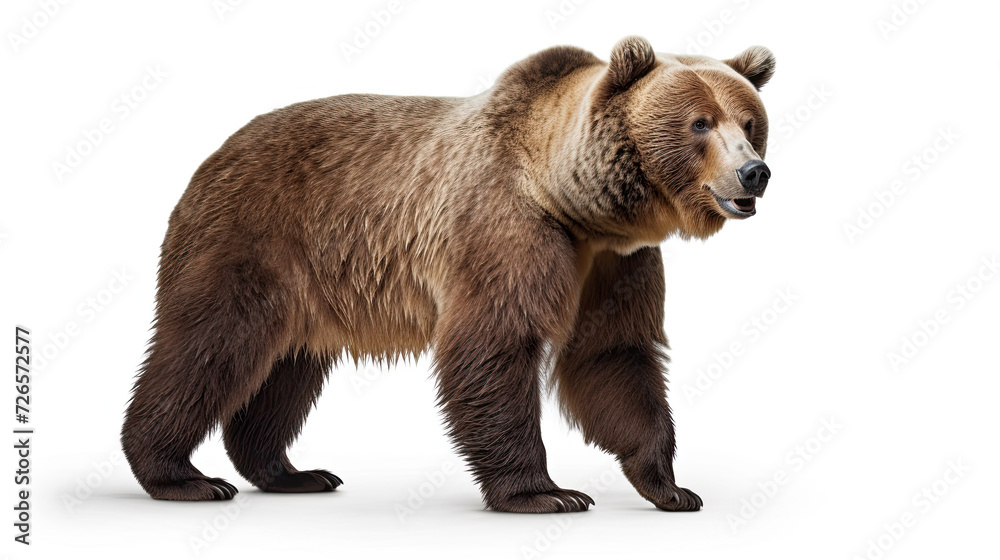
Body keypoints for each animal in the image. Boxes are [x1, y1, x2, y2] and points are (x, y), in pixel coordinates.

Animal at [121, 36, 774, 513]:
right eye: (699, 123)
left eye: (749, 122)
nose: (754, 173)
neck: (574, 204)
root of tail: (213, 153)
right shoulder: (505, 228)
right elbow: (493, 345)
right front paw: (547, 492)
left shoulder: (615, 262)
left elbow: (614, 354)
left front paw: (670, 487)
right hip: (252, 238)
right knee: (208, 346)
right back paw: (183, 476)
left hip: (310, 285)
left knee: (285, 369)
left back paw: (292, 471)